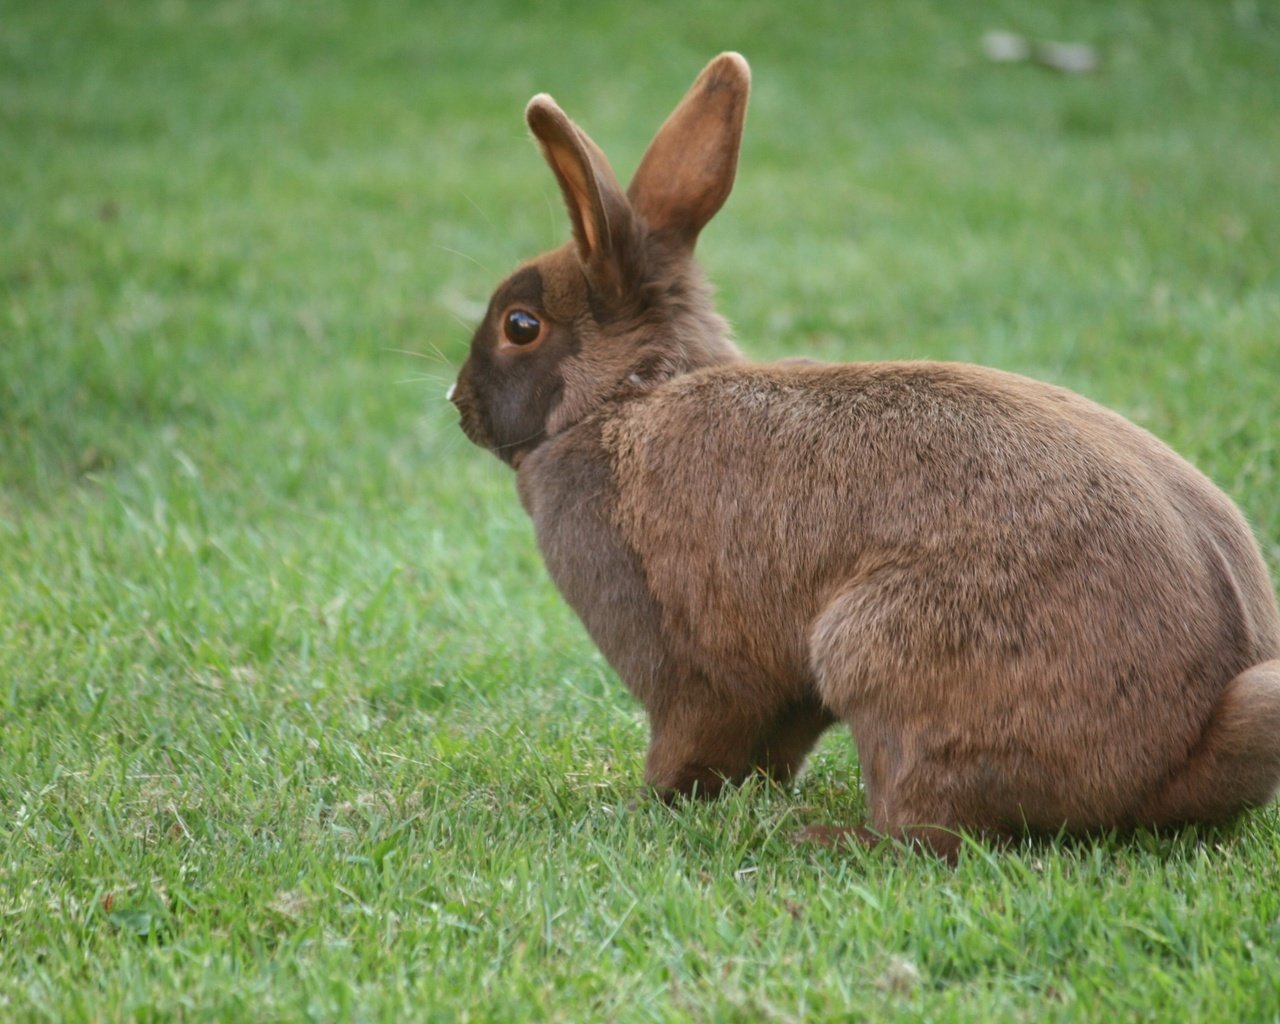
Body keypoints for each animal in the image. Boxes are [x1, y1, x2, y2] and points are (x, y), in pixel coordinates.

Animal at [448, 51, 1280, 860]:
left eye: (520, 325)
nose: (458, 402)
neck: (623, 399)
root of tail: (1177, 757)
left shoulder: (686, 663)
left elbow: (693, 740)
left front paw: (645, 803)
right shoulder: (782, 692)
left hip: (880, 656)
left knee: (931, 829)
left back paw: (831, 838)